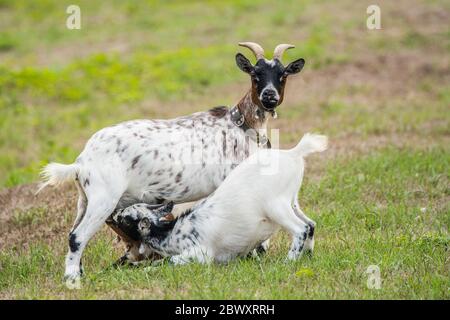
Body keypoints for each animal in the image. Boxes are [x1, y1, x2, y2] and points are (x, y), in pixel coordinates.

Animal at [109, 133, 326, 264]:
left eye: (125, 218)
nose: (115, 213)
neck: (172, 232)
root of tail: (293, 154)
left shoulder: (200, 254)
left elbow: (169, 261)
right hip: (292, 201)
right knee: (311, 224)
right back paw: (308, 256)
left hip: (276, 206)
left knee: (300, 228)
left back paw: (289, 261)